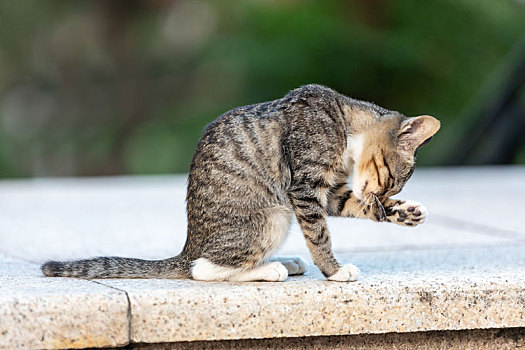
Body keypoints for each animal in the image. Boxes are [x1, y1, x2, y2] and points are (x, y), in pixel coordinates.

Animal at [43, 84, 440, 282]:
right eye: (392, 180)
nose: (384, 198)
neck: (344, 122)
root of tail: (188, 247)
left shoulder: (325, 193)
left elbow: (346, 205)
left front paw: (404, 213)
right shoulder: (303, 188)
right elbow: (319, 235)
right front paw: (335, 270)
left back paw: (285, 261)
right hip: (272, 214)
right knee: (203, 269)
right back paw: (271, 269)